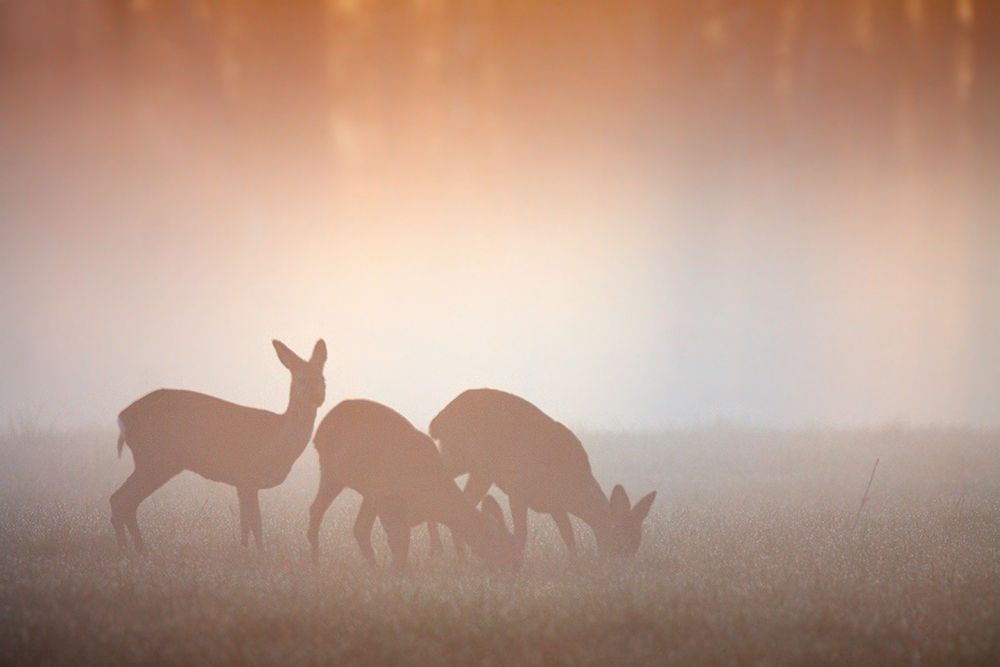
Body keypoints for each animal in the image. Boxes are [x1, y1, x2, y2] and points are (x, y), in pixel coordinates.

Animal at [111, 340, 326, 552]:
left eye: (322, 379)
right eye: (301, 379)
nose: (318, 397)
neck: (278, 438)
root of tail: (122, 418)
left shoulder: (242, 483)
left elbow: (244, 524)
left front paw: (244, 551)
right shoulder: (248, 475)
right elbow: (256, 522)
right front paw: (261, 555)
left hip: (156, 462)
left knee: (124, 501)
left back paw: (135, 549)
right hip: (155, 459)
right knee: (120, 499)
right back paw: (130, 550)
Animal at [308, 400, 520, 572]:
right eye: (504, 548)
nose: (515, 568)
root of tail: (319, 431)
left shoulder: (395, 510)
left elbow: (399, 547)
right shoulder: (391, 508)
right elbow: (399, 549)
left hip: (368, 492)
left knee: (359, 528)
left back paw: (373, 567)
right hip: (332, 474)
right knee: (316, 510)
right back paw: (316, 563)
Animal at [428, 392, 656, 560]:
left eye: (637, 543)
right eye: (620, 543)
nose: (620, 568)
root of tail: (438, 420)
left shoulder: (557, 505)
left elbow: (568, 535)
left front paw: (575, 562)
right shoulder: (517, 491)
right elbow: (522, 534)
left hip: (481, 473)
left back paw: (458, 555)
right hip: (457, 456)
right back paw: (438, 550)